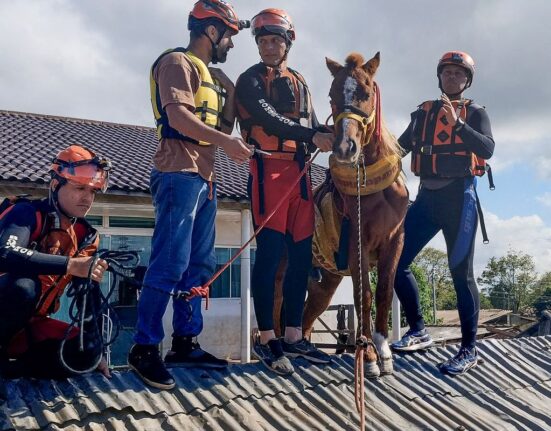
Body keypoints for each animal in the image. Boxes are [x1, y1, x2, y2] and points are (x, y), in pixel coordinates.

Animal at [300, 52, 408, 378]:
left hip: (325, 281)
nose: (346, 148)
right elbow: (364, 296)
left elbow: (383, 291)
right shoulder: (357, 242)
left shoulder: (395, 241)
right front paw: (369, 355)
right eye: (332, 95)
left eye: (366, 92)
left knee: (307, 316)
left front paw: (384, 350)